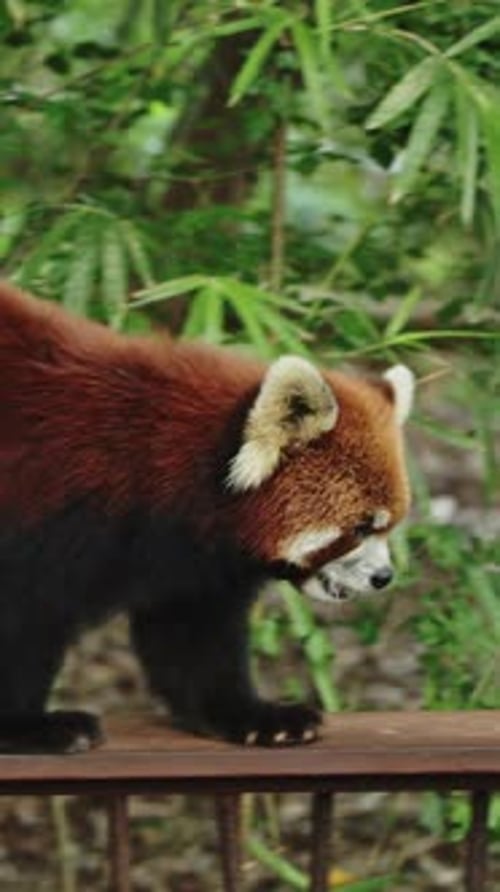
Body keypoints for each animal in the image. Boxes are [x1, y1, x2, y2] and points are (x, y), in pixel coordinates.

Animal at [0, 282, 414, 752]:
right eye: (361, 527)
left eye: (389, 526)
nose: (383, 577)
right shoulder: (47, 514)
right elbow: (22, 619)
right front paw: (27, 725)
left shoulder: (190, 560)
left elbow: (194, 637)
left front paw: (254, 716)